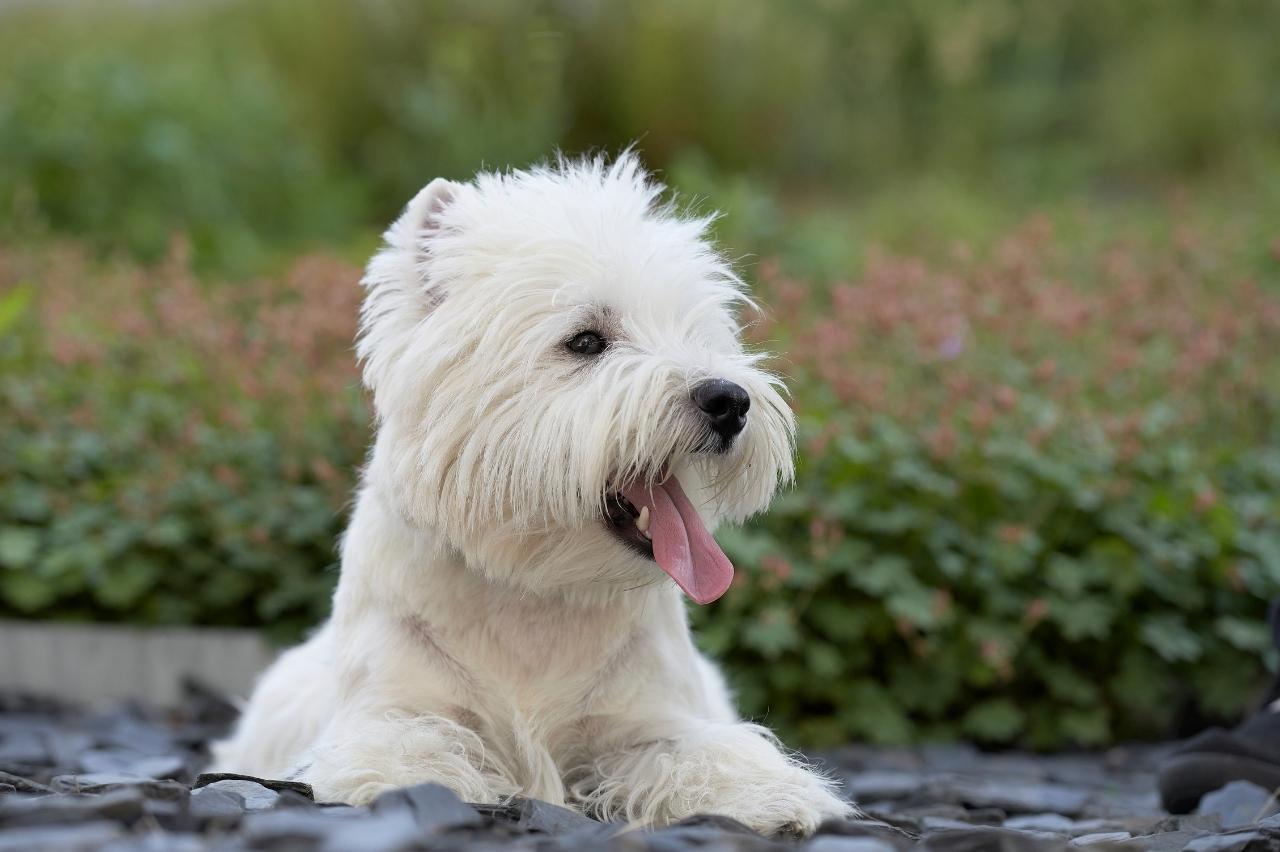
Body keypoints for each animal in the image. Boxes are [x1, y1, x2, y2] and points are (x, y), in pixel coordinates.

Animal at [207, 152, 849, 828]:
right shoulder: (392, 707)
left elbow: (700, 754)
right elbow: (409, 745)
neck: (534, 595)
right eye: (587, 340)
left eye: (701, 335)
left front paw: (775, 797)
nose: (728, 400)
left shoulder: (646, 723)